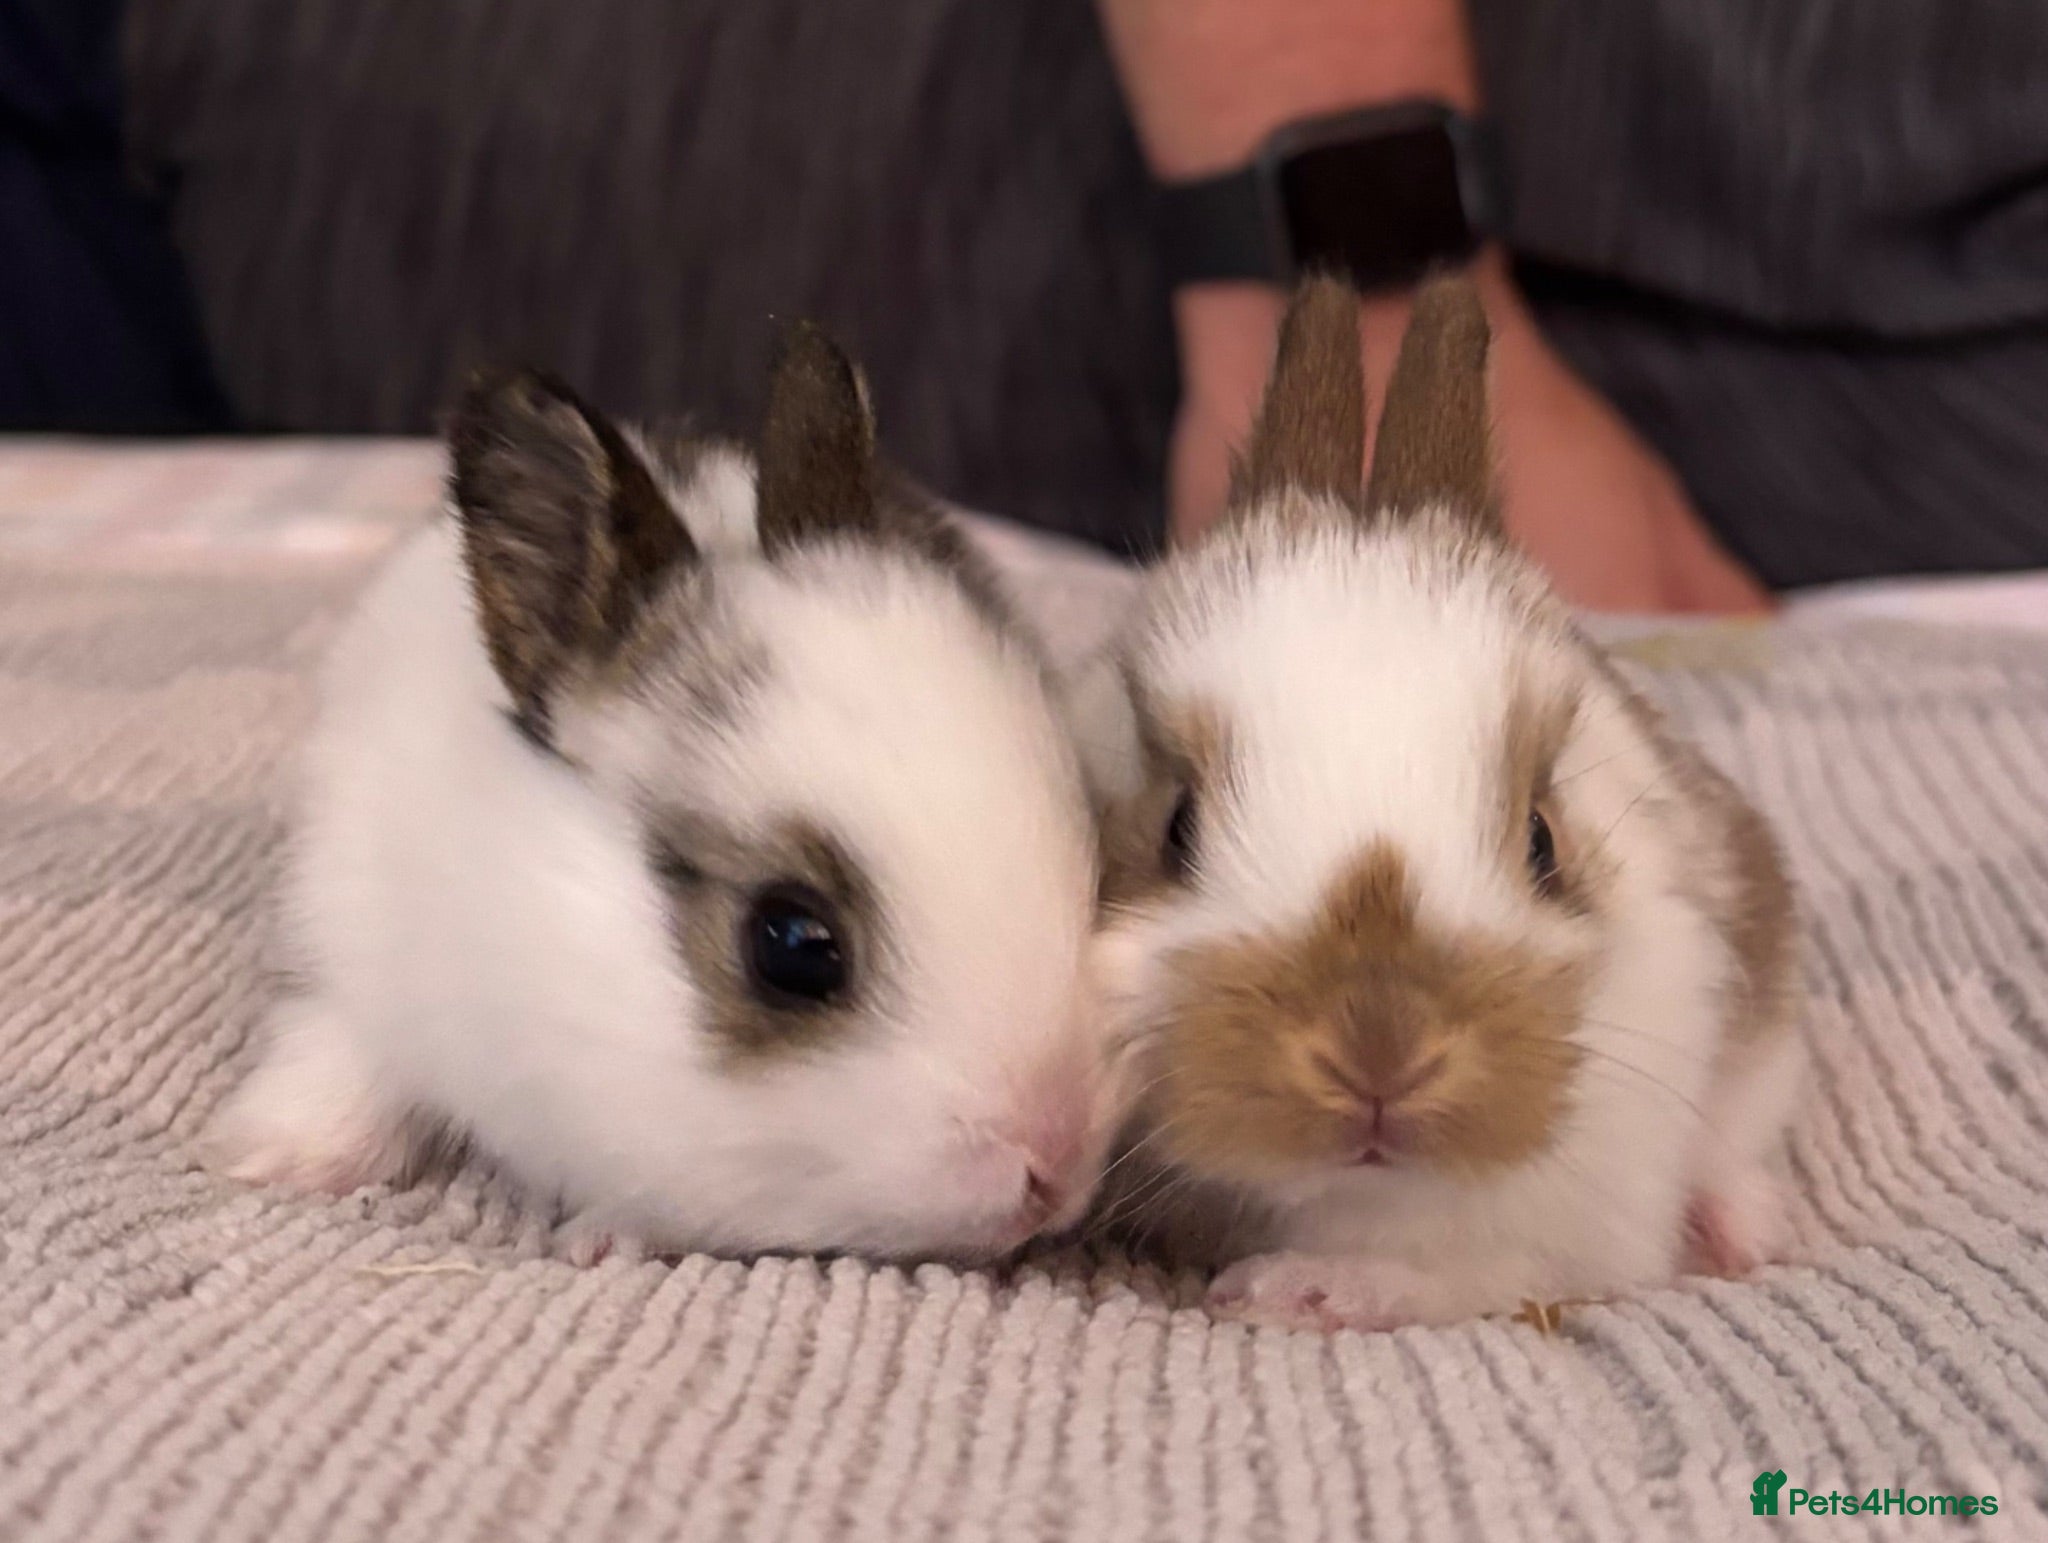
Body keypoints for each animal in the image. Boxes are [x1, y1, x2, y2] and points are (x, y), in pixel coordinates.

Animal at [204, 320, 1119, 1264]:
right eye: (793, 945)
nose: (1056, 1160)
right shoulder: (352, 929)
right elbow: (341, 1051)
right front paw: (269, 1153)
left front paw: (604, 1237)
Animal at [1077, 275, 1803, 1331]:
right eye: (1177, 827)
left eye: (1543, 840)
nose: (1380, 1053)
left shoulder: (1570, 1239)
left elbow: (1465, 1277)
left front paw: (1301, 1286)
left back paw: (1743, 1225)